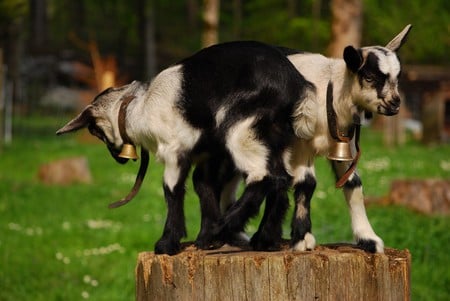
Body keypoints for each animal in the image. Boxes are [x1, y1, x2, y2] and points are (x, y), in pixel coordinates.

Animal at [56, 41, 312, 254]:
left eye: (94, 131)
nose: (119, 159)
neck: (139, 109)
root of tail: (294, 83)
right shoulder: (210, 155)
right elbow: (203, 185)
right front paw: (205, 238)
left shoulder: (173, 150)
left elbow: (172, 189)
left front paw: (168, 243)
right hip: (277, 138)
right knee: (281, 180)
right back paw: (262, 239)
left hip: (241, 128)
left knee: (266, 175)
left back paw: (222, 228)